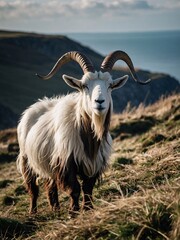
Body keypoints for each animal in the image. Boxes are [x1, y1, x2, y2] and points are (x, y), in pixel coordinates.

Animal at [16, 50, 150, 214]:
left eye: (110, 85)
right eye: (84, 85)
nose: (99, 102)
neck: (89, 139)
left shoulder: (94, 163)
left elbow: (87, 188)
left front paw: (88, 209)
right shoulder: (66, 162)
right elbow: (75, 189)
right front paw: (73, 212)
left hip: (47, 162)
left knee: (50, 185)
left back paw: (55, 209)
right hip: (26, 160)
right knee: (33, 188)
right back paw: (33, 212)